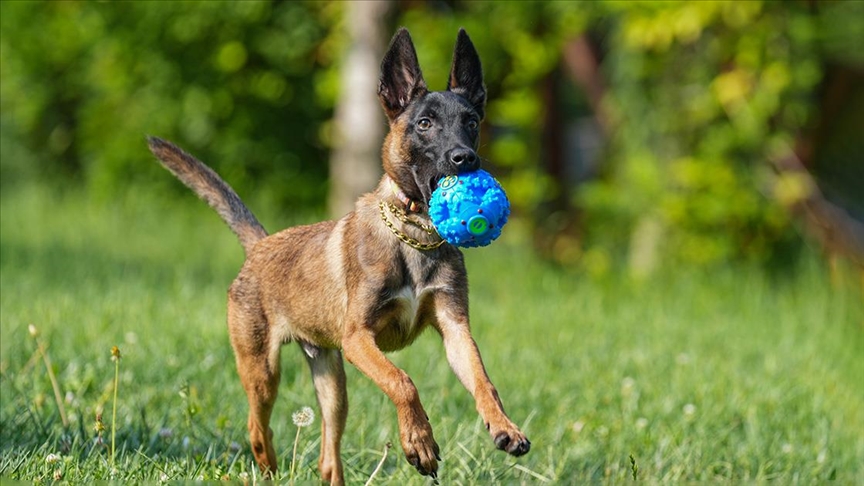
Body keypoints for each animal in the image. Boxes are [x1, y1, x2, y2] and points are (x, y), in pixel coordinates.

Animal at [147, 28, 528, 484]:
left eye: (471, 122)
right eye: (424, 124)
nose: (465, 159)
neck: (414, 236)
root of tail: (260, 246)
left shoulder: (454, 328)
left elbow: (484, 381)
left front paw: (505, 427)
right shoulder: (358, 338)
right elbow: (403, 381)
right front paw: (419, 442)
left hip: (332, 381)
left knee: (328, 455)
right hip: (263, 370)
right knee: (258, 429)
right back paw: (269, 468)